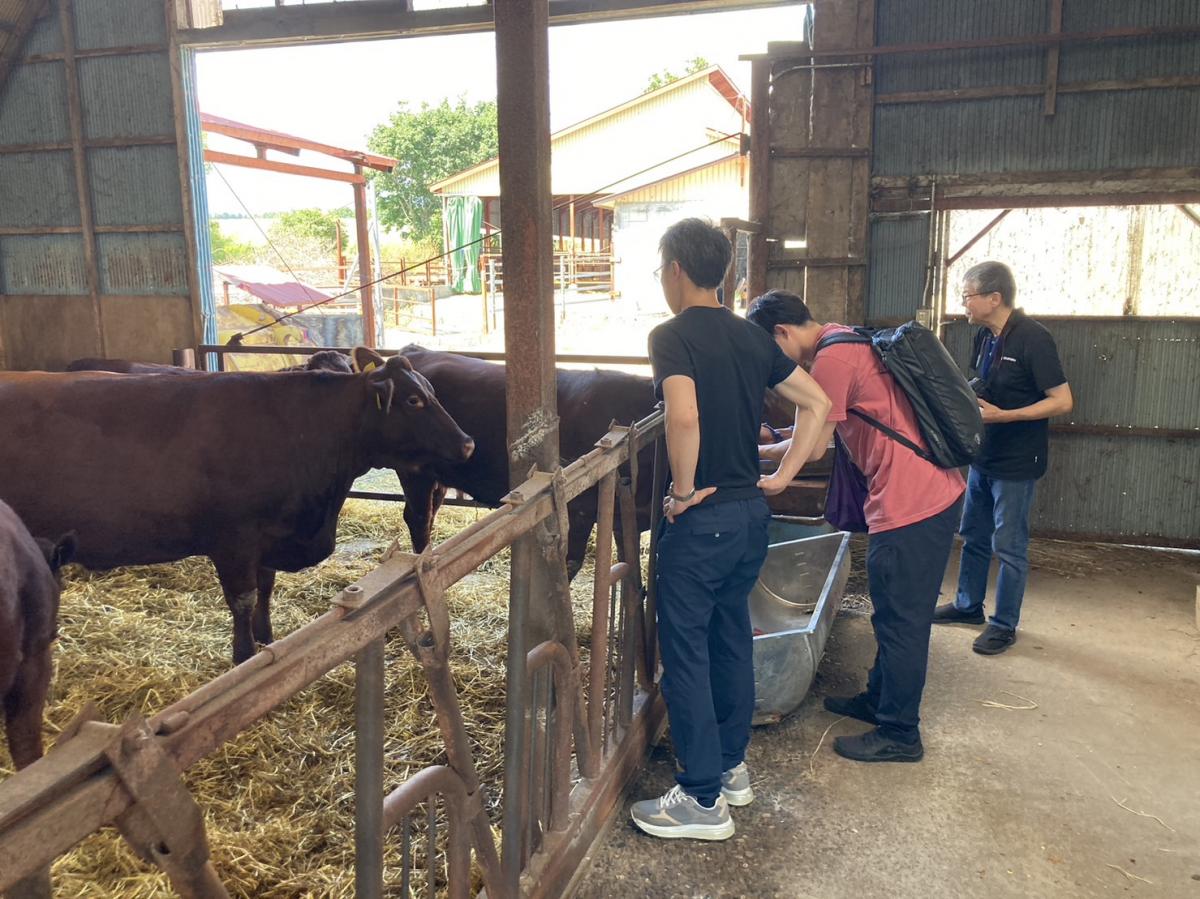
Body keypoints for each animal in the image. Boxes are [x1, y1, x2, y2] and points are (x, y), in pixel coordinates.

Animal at [0, 350, 474, 665]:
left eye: (431, 392)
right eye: (413, 400)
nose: (467, 443)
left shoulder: (268, 538)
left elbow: (265, 587)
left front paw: (267, 638)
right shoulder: (234, 541)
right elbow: (243, 599)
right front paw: (244, 654)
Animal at [388, 345, 659, 579]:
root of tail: (415, 352)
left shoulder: (626, 518)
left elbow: (630, 566)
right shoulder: (579, 508)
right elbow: (570, 563)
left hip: (438, 478)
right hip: (414, 472)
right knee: (418, 519)